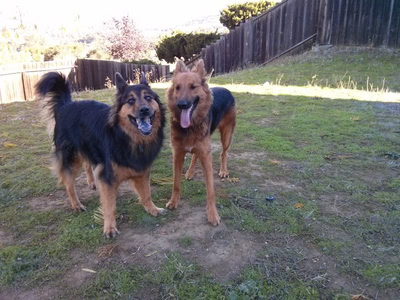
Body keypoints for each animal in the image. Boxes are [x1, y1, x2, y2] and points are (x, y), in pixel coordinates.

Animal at [35, 72, 165, 237]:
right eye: (130, 100)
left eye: (148, 97)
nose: (144, 110)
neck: (126, 136)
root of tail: (65, 106)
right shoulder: (107, 178)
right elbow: (109, 205)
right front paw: (109, 228)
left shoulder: (142, 170)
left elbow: (146, 194)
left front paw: (152, 209)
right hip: (71, 158)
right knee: (69, 183)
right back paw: (76, 204)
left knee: (87, 164)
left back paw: (92, 182)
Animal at [165, 59, 234, 225]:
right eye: (177, 88)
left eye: (193, 87)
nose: (182, 105)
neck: (190, 126)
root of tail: (226, 89)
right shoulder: (178, 155)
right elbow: (176, 183)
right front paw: (174, 201)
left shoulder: (206, 157)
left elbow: (211, 191)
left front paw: (212, 214)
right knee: (196, 154)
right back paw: (190, 172)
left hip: (226, 136)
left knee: (224, 153)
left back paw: (224, 170)